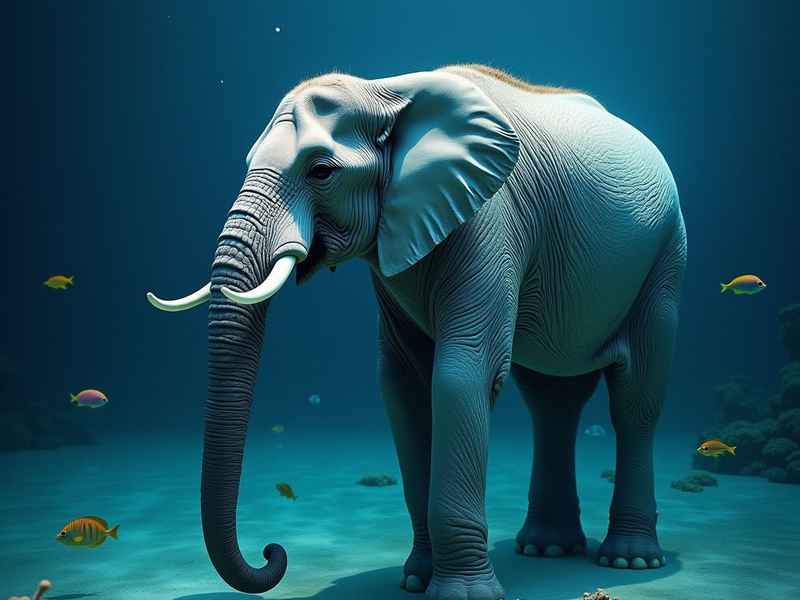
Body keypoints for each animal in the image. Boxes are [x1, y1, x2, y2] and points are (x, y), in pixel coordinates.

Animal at [147, 63, 686, 600]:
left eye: (321, 172)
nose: (273, 552)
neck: (385, 91)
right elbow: (403, 386)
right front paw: (415, 582)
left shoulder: (490, 219)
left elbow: (459, 376)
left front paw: (462, 596)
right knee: (553, 404)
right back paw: (547, 549)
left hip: (665, 258)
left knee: (635, 401)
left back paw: (629, 559)